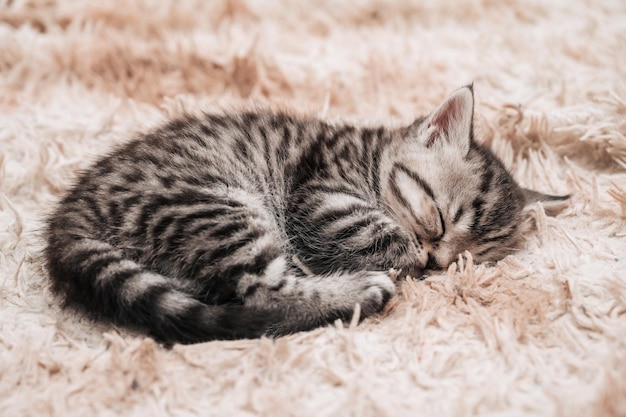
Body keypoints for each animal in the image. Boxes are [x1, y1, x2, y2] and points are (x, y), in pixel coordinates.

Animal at [41, 86, 564, 342]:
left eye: (468, 259)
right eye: (437, 217)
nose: (439, 260)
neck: (369, 157)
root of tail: (70, 218)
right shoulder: (321, 199)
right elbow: (387, 237)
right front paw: (407, 257)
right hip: (220, 206)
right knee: (261, 295)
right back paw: (358, 290)